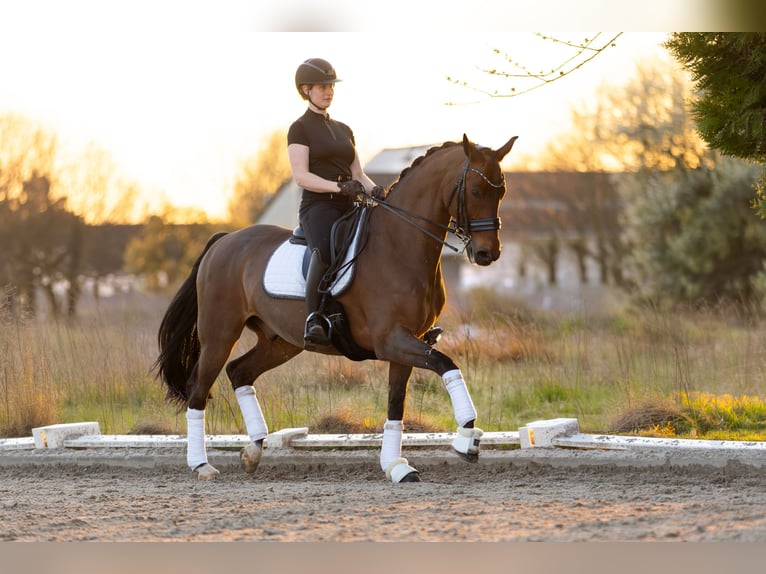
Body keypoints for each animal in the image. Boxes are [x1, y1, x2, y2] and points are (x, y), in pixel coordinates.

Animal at [154, 133, 518, 482]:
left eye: (501, 192)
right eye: (475, 190)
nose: (488, 254)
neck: (400, 245)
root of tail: (225, 240)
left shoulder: (406, 343)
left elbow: (395, 404)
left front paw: (396, 467)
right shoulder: (392, 340)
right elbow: (447, 365)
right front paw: (466, 440)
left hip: (280, 341)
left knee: (239, 371)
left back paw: (253, 451)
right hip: (220, 333)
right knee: (197, 389)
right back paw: (202, 465)